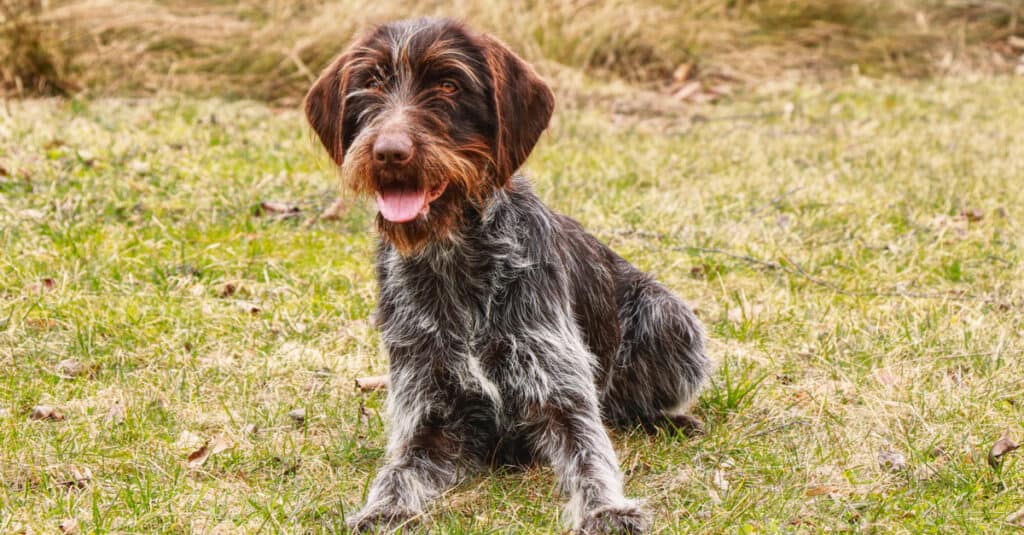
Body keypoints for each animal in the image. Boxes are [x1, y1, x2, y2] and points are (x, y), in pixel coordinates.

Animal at [305, 17, 712, 532]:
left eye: (449, 84)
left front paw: (605, 509)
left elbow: (589, 454)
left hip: (671, 319)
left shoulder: (559, 388)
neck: (454, 257)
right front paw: (382, 510)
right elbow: (397, 470)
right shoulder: (428, 411)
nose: (389, 152)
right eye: (372, 82)